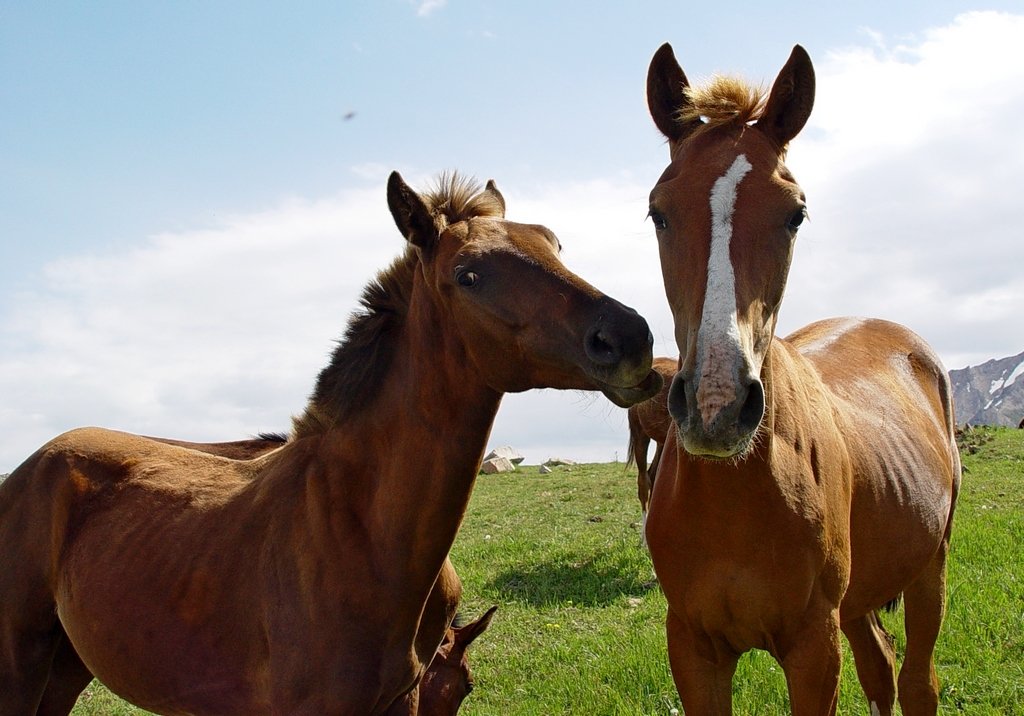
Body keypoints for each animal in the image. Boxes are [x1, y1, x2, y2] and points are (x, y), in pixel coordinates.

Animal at [0, 174, 655, 716]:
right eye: (468, 274)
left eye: (554, 245)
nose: (629, 337)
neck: (356, 530)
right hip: (20, 665)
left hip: (66, 666)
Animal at [647, 44, 958, 716]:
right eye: (658, 211)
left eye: (795, 214)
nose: (716, 405)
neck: (736, 498)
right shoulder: (693, 649)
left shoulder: (814, 648)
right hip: (861, 600)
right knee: (881, 668)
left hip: (930, 569)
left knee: (917, 681)